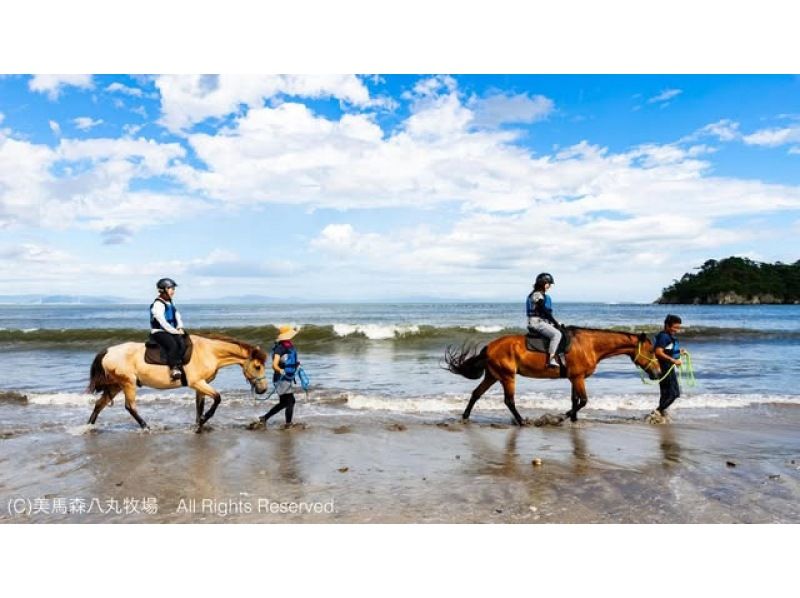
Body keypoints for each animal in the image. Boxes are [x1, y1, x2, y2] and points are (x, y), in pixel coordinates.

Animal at [86, 336, 270, 434]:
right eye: (257, 367)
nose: (264, 389)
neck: (208, 352)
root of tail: (107, 351)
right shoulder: (198, 383)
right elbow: (217, 398)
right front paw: (203, 421)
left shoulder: (200, 385)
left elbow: (199, 406)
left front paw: (199, 426)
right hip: (128, 383)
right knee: (130, 407)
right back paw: (147, 427)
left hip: (116, 385)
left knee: (99, 404)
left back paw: (88, 427)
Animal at [444, 328, 664, 426]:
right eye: (651, 351)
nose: (658, 373)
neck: (590, 345)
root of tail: (489, 346)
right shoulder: (578, 378)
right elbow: (583, 401)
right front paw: (560, 417)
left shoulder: (574, 378)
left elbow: (575, 400)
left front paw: (573, 419)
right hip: (507, 376)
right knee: (509, 400)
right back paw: (522, 421)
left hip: (493, 375)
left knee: (476, 394)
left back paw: (465, 417)